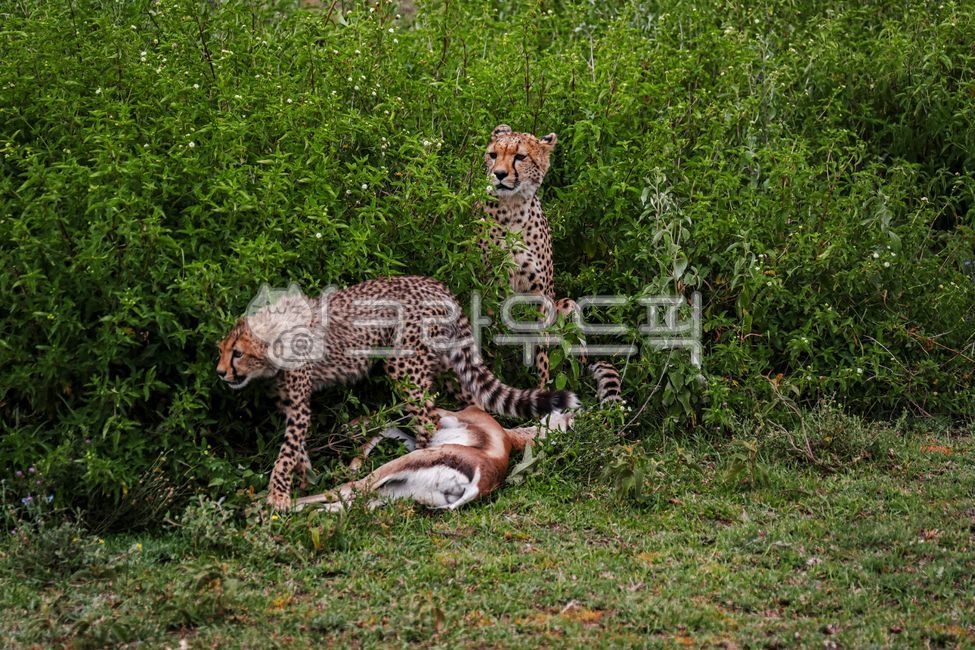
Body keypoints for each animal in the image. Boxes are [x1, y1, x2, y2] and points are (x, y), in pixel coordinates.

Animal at [215, 275, 577, 510]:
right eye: (221, 351)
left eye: (237, 353)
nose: (220, 373)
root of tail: (435, 284)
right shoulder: (291, 405)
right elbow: (297, 450)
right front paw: (304, 477)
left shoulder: (299, 407)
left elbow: (287, 452)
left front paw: (278, 494)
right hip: (440, 363)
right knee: (470, 402)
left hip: (404, 364)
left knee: (427, 419)